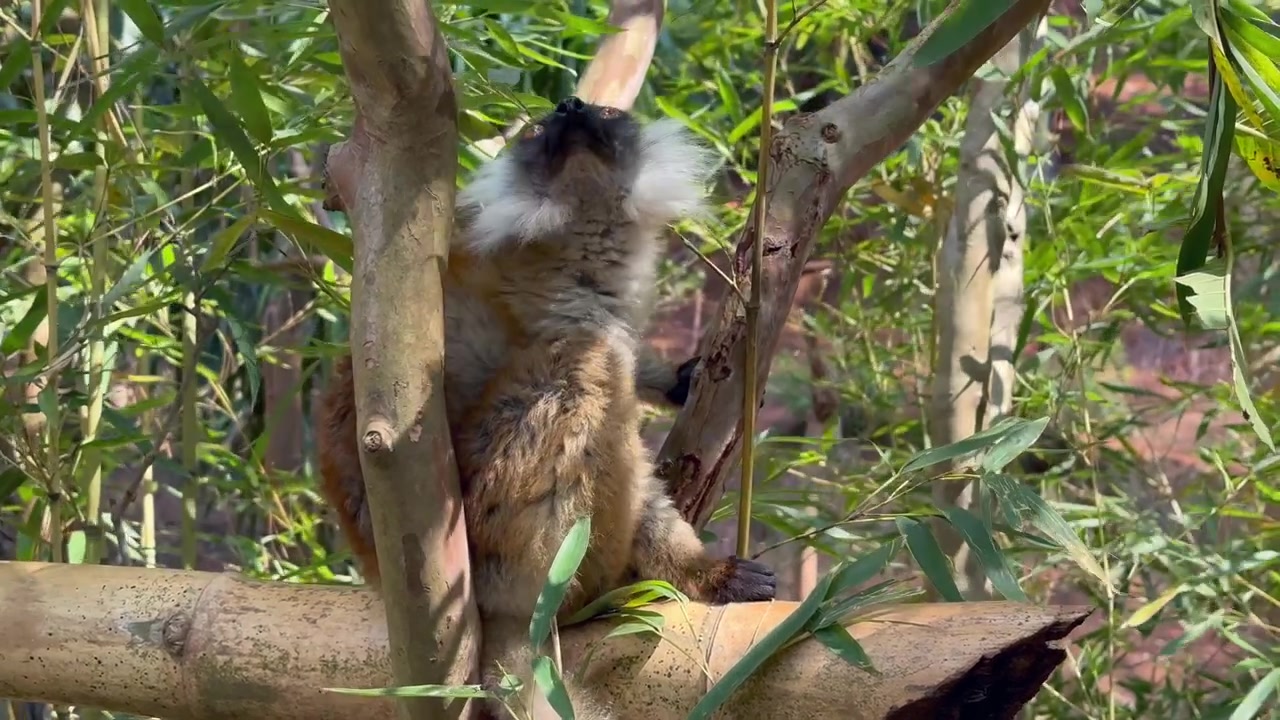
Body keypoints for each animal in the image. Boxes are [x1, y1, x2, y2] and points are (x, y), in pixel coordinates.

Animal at [317, 97, 776, 719]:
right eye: (539, 130)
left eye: (607, 114)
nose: (572, 107)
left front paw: (677, 379)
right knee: (585, 372)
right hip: (500, 523)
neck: (575, 248)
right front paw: (704, 572)